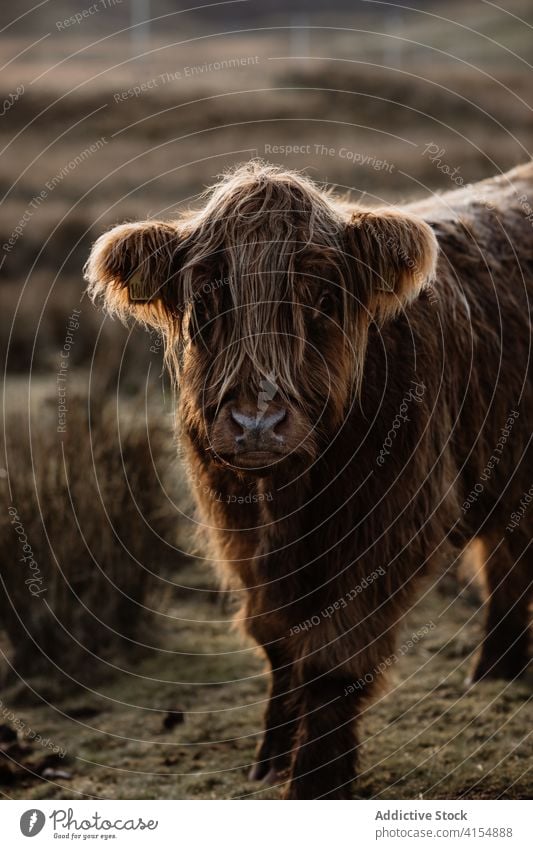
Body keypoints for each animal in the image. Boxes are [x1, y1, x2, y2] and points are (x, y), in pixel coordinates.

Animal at [86, 161, 532, 800]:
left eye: (322, 297)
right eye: (208, 295)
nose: (257, 424)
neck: (291, 497)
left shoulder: (380, 531)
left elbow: (332, 656)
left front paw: (317, 777)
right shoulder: (238, 530)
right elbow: (277, 640)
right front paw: (272, 758)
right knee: (507, 552)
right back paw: (496, 670)